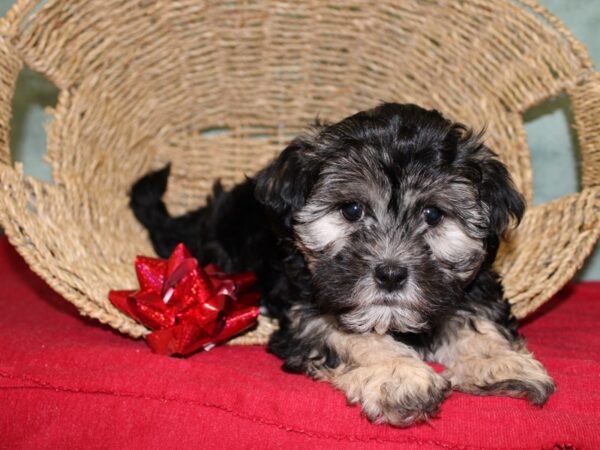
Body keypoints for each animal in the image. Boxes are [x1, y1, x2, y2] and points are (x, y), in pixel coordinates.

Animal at [130, 103, 552, 428]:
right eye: (351, 209)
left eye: (433, 214)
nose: (390, 274)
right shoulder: (310, 311)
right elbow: (355, 336)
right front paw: (399, 375)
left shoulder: (467, 287)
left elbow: (472, 317)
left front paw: (499, 360)